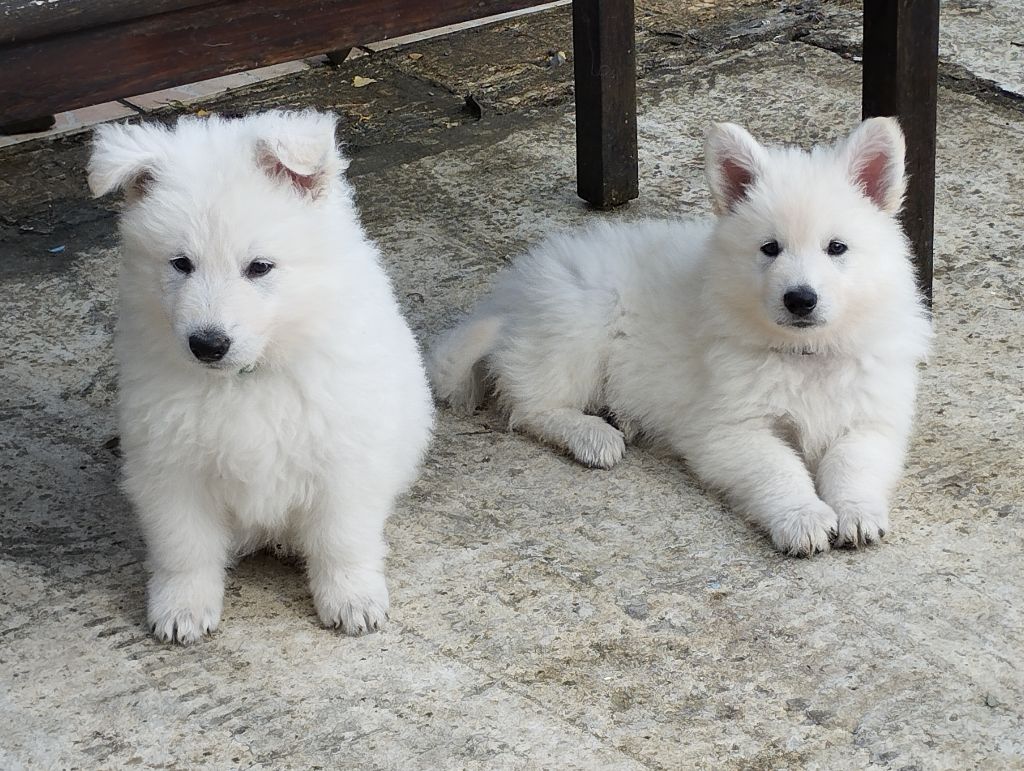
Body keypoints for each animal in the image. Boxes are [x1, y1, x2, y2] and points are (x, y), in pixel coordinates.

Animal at [89, 109, 436, 643]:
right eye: (180, 263)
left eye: (259, 267)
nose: (207, 344)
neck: (245, 377)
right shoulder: (170, 465)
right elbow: (183, 546)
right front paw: (182, 607)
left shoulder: (344, 456)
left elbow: (342, 538)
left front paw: (352, 599)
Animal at [428, 118, 933, 552]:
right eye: (770, 248)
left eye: (837, 248)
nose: (800, 299)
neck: (804, 353)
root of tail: (512, 294)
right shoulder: (730, 430)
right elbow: (779, 470)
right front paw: (803, 517)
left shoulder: (872, 419)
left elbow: (853, 463)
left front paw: (857, 512)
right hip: (579, 322)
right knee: (531, 406)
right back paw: (592, 435)